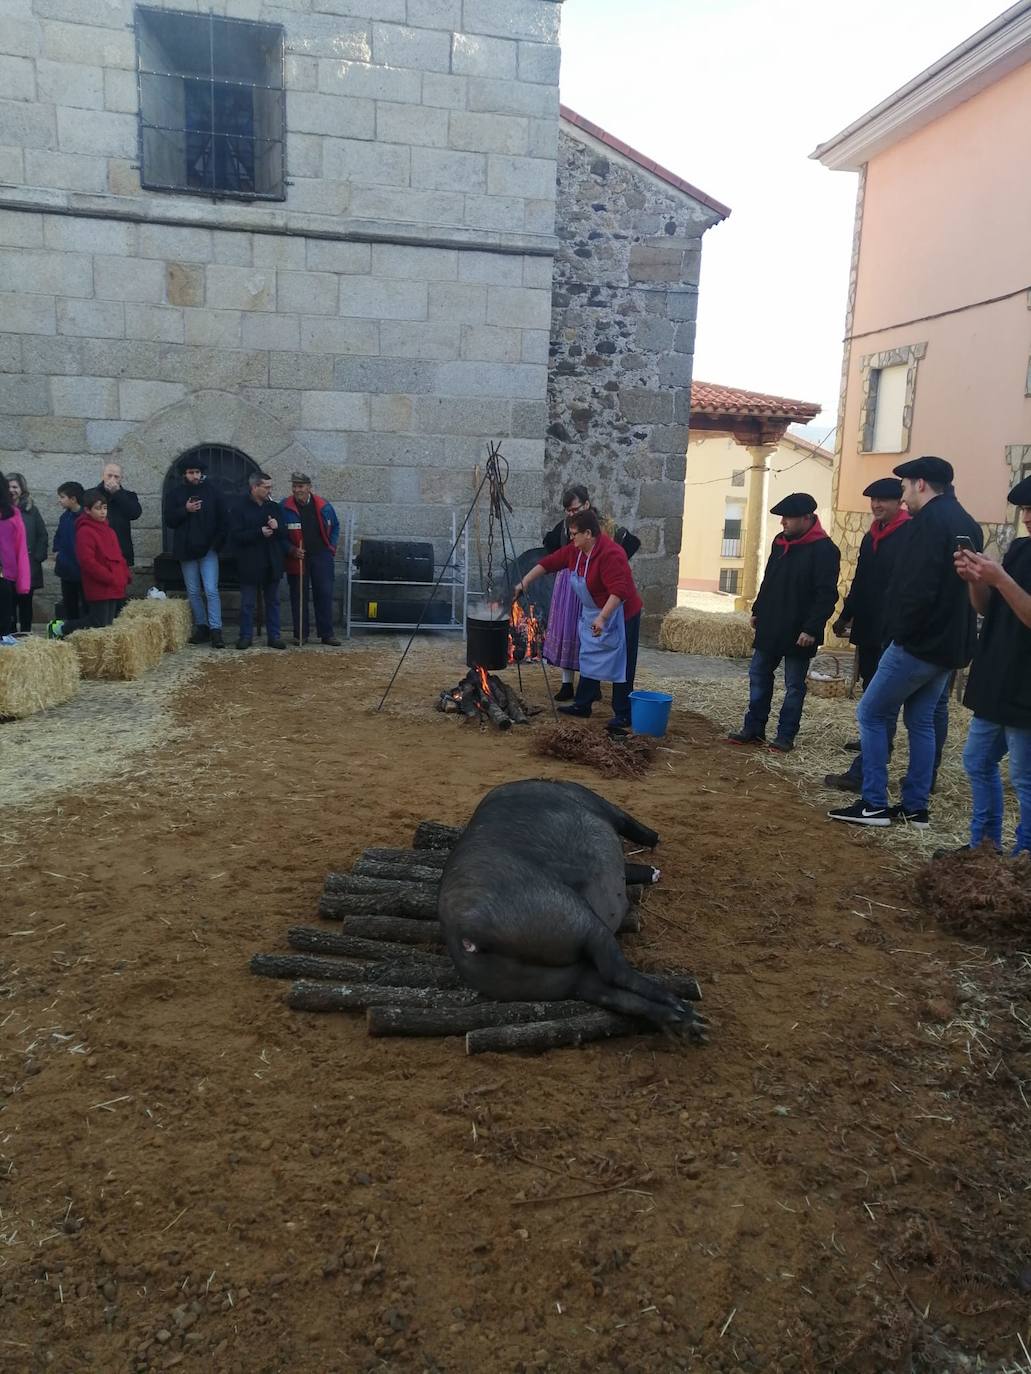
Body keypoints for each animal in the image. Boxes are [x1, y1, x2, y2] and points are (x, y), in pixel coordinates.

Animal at [437, 779, 705, 1034]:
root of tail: (466, 937)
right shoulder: (600, 804)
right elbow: (628, 823)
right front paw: (655, 848)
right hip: (569, 915)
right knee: (614, 970)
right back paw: (682, 1008)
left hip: (539, 980)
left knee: (606, 992)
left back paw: (693, 1025)